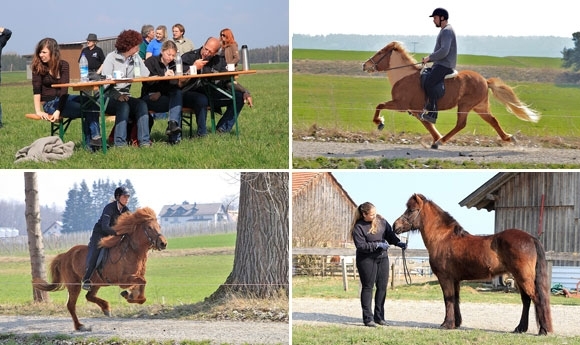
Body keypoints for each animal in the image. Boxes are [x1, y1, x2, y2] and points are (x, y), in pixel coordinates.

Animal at [33, 207, 167, 330]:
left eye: (159, 226)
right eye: (149, 227)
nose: (163, 243)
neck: (132, 251)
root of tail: (65, 255)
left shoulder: (134, 277)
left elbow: (142, 286)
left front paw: (130, 295)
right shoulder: (123, 280)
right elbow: (142, 282)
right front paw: (129, 296)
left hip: (96, 283)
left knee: (89, 296)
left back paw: (106, 308)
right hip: (74, 285)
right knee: (71, 305)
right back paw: (79, 326)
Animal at [362, 41, 540, 148]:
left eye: (380, 53)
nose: (364, 65)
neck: (404, 76)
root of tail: (484, 80)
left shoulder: (401, 104)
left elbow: (380, 105)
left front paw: (379, 122)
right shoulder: (417, 110)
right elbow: (428, 124)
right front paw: (436, 137)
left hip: (465, 105)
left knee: (461, 124)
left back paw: (442, 141)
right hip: (479, 107)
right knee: (493, 120)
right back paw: (509, 138)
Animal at [392, 194, 552, 334]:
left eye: (411, 210)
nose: (395, 226)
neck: (443, 238)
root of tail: (531, 238)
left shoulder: (445, 278)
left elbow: (448, 299)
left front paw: (446, 324)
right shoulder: (455, 280)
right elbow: (455, 299)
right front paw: (456, 323)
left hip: (523, 277)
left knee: (537, 298)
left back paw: (543, 330)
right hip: (520, 278)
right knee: (526, 300)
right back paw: (520, 328)